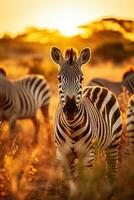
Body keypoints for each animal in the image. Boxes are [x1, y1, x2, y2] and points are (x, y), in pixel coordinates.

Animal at [50, 46, 122, 191]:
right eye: (59, 79)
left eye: (81, 79)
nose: (70, 109)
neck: (71, 126)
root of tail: (97, 87)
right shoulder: (62, 156)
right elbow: (67, 185)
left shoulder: (88, 156)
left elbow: (86, 185)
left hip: (113, 144)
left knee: (112, 173)